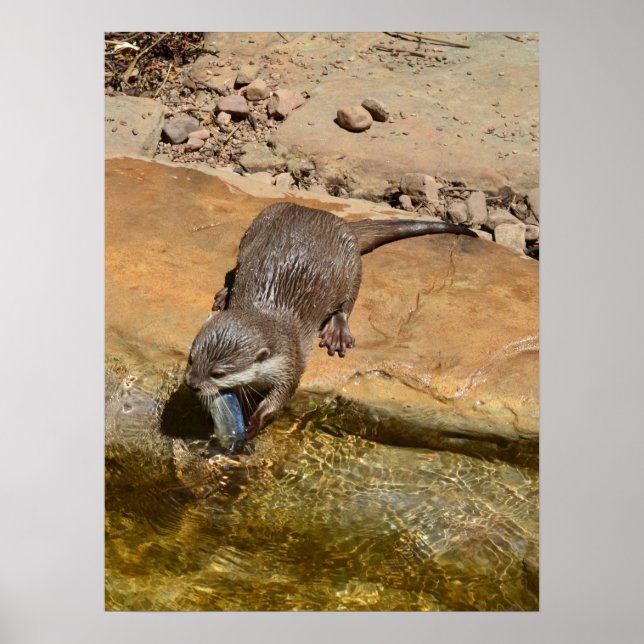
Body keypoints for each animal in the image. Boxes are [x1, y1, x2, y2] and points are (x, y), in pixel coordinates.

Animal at [184, 202, 477, 446]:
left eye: (218, 373)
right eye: (191, 358)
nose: (191, 383)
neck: (265, 311)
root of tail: (334, 219)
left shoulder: (291, 361)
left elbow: (281, 398)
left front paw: (254, 422)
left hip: (352, 265)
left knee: (347, 303)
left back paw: (337, 331)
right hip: (256, 227)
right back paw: (225, 294)